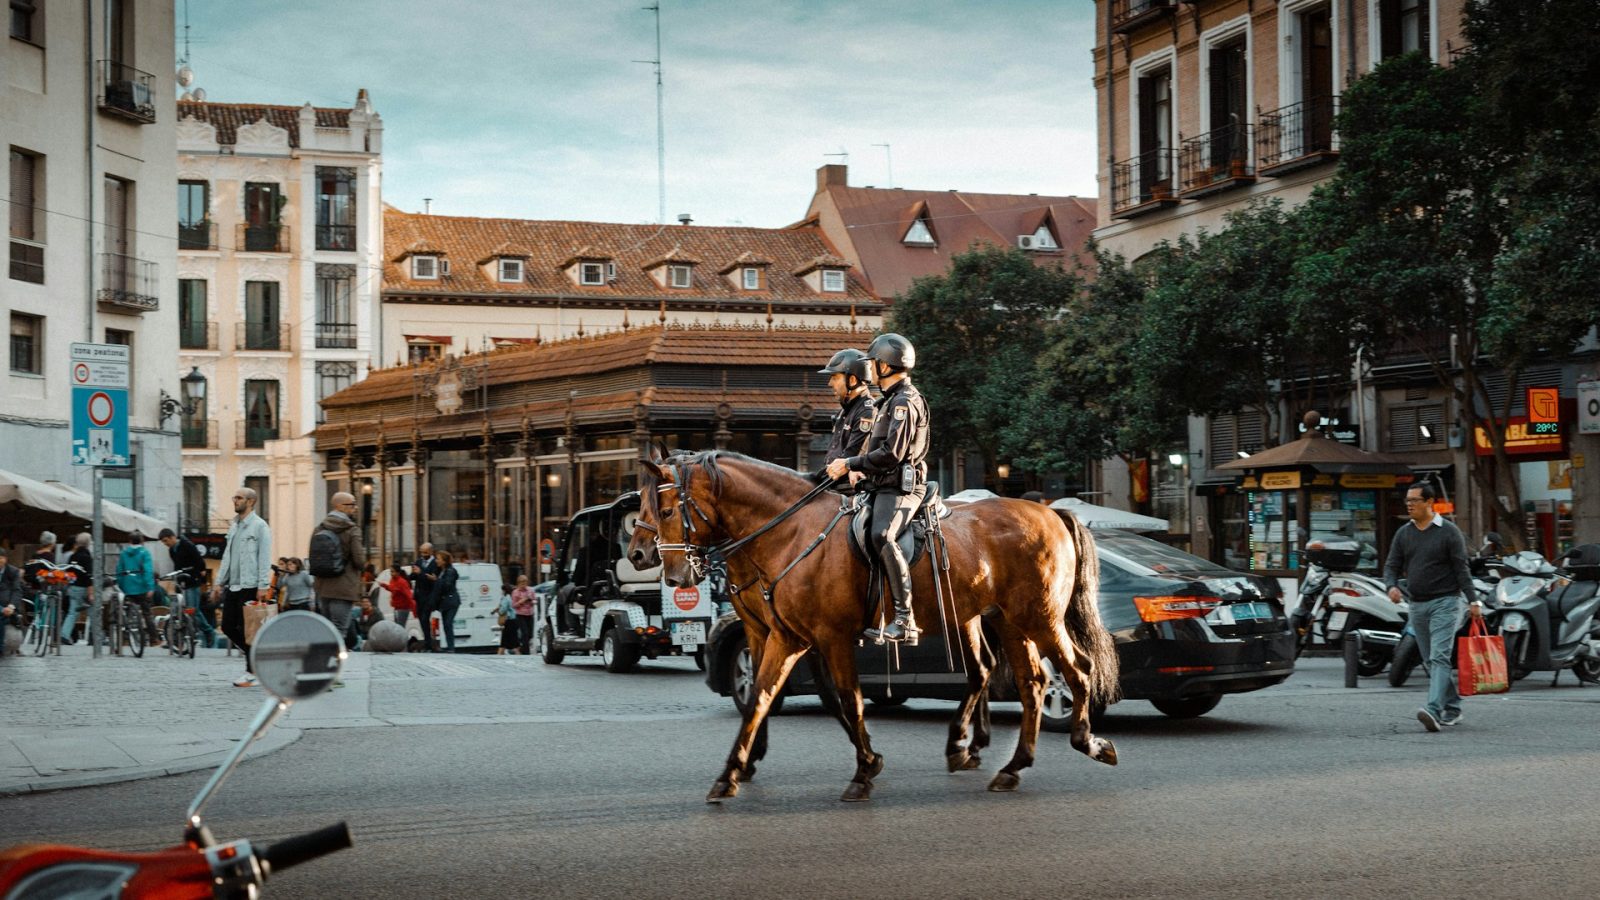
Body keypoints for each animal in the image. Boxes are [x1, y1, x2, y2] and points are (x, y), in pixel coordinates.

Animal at [624, 448, 1113, 797]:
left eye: (664, 511)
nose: (643, 557)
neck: (790, 533)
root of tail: (1051, 512)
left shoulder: (828, 638)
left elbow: (847, 698)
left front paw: (865, 768)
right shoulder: (781, 636)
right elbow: (762, 696)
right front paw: (734, 770)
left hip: (1040, 619)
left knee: (1075, 670)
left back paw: (1087, 742)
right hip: (1009, 622)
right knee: (1027, 681)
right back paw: (1006, 764)